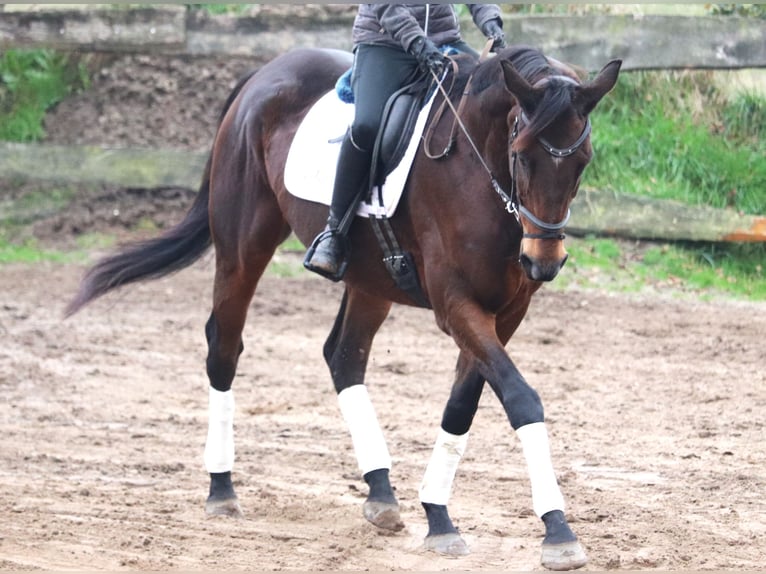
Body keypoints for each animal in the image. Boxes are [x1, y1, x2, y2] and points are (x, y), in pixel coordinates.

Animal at [63, 45, 620, 572]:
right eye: (523, 157)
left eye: (583, 161)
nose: (544, 262)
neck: (478, 170)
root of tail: (265, 73)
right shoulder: (456, 305)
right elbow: (521, 398)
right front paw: (558, 531)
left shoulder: (506, 312)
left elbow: (464, 405)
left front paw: (438, 516)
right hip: (243, 249)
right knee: (224, 348)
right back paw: (221, 489)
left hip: (371, 280)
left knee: (344, 357)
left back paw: (381, 492)